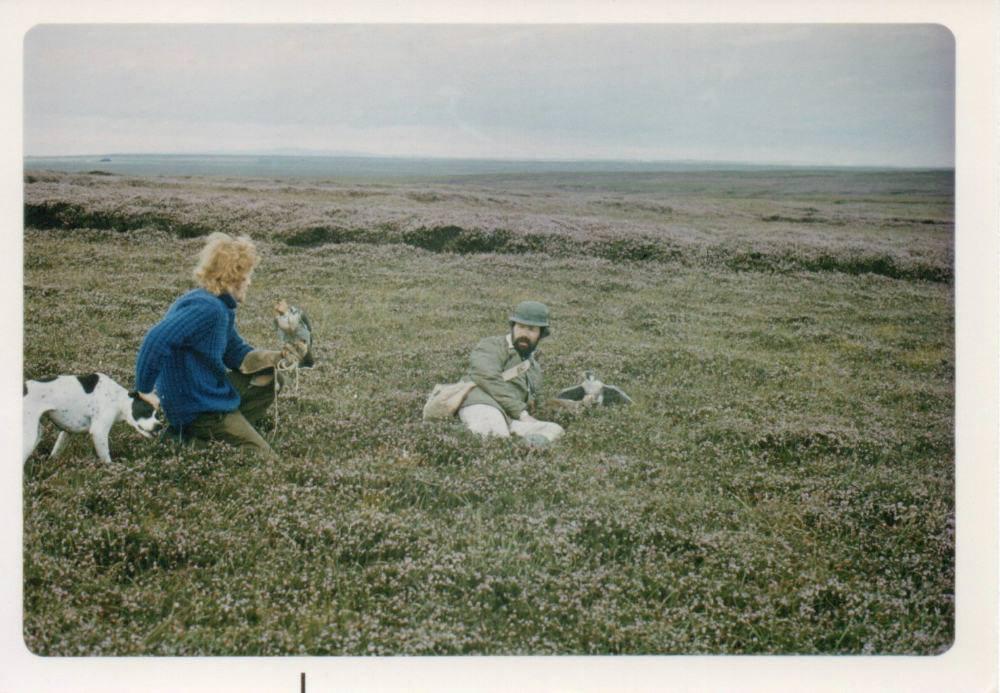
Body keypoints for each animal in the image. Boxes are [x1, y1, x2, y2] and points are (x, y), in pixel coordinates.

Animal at [23, 373, 163, 464]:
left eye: (157, 415)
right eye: (147, 411)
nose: (159, 426)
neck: (117, 397)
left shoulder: (67, 431)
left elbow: (56, 450)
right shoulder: (99, 432)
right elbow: (107, 459)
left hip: (37, 433)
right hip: (29, 438)